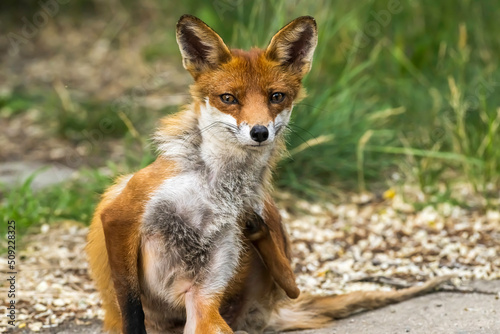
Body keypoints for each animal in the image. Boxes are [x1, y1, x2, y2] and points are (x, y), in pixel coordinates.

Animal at [87, 13, 454, 334]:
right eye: (228, 98)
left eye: (276, 96)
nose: (260, 132)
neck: (217, 187)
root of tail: (262, 315)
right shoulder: (123, 213)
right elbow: (130, 306)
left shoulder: (205, 289)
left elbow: (289, 280)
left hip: (217, 296)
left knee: (290, 284)